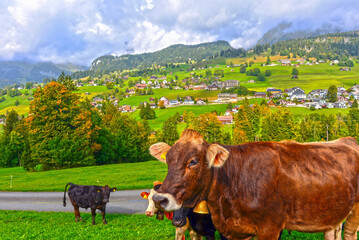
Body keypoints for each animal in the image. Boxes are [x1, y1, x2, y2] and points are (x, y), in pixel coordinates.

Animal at [150, 129, 359, 240]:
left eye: (193, 162)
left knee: (349, 233)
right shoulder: (232, 232)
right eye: (167, 159)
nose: (160, 199)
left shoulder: (270, 228)